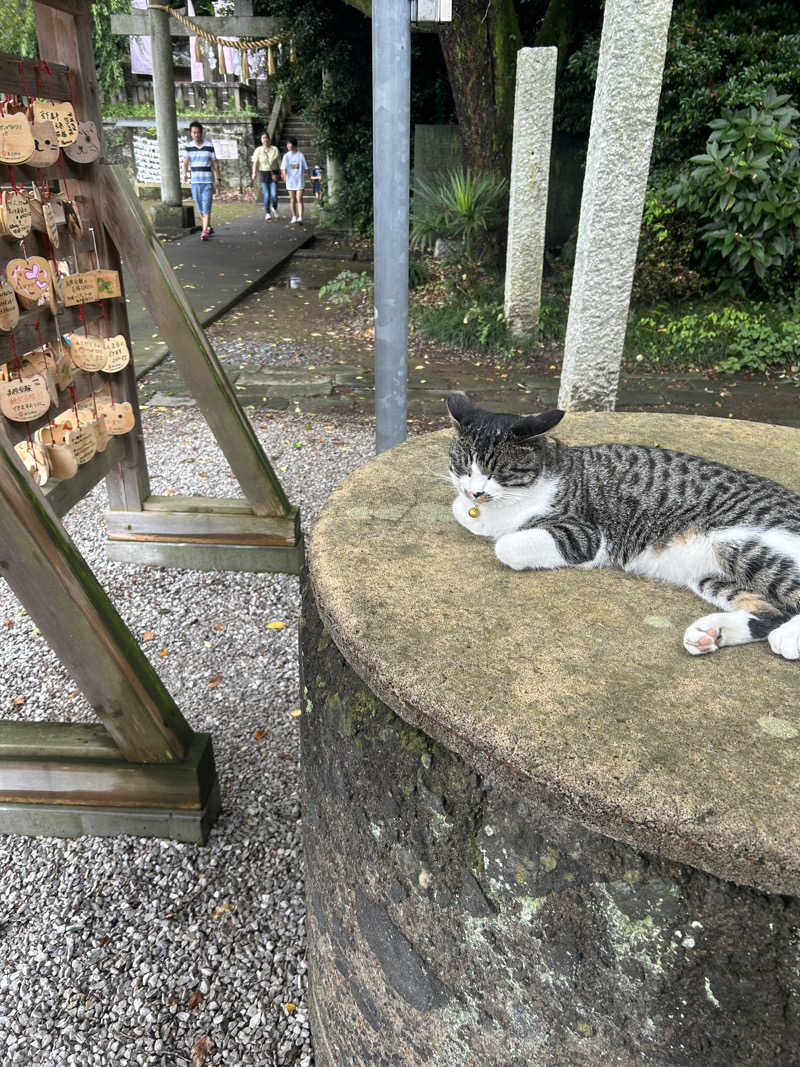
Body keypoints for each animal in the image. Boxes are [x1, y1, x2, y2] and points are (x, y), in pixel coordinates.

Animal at [448, 394, 800, 657]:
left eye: (497, 471)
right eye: (463, 465)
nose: (475, 491)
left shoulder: (586, 534)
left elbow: (507, 545)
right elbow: (461, 511)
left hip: (742, 544)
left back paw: (787, 638)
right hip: (710, 576)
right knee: (772, 611)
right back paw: (710, 633)